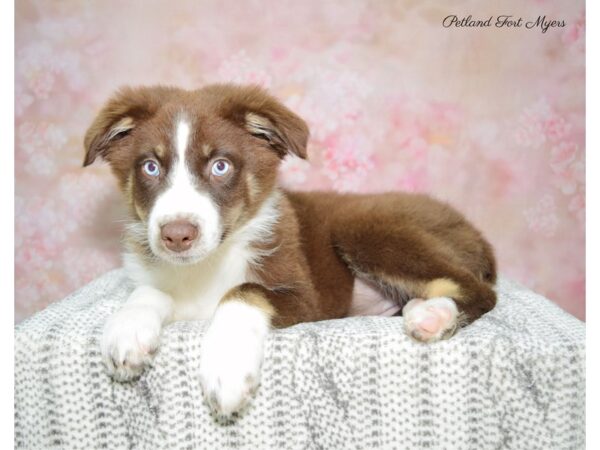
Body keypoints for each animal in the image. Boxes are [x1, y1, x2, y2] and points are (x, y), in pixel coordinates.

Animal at [84, 83, 496, 414]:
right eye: (150, 167)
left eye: (220, 166)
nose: (177, 235)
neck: (208, 264)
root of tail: (475, 231)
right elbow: (148, 291)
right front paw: (128, 329)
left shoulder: (307, 298)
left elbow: (243, 289)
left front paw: (226, 369)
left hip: (364, 225)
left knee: (480, 290)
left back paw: (433, 315)